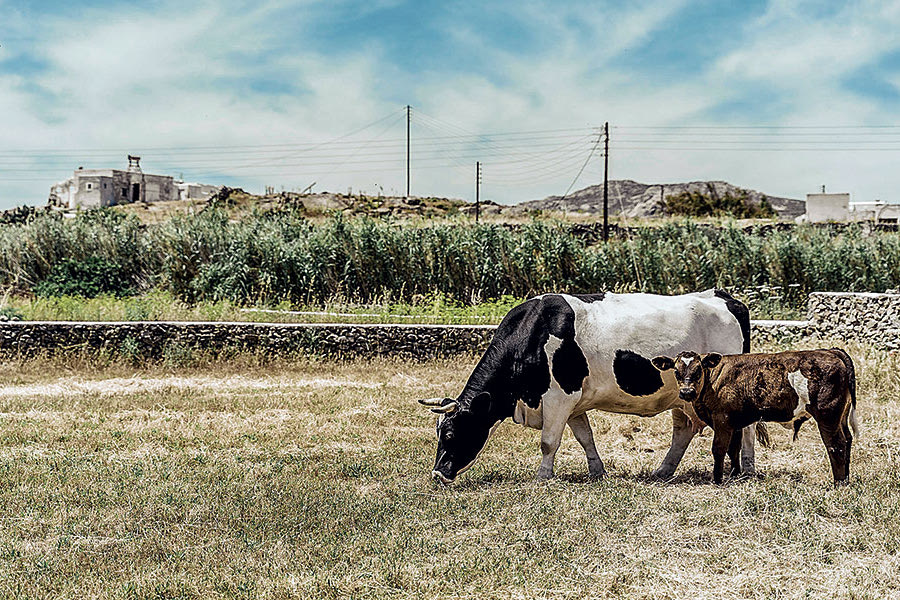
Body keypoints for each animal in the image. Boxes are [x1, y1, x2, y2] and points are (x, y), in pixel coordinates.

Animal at [416, 288, 760, 486]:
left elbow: (548, 442)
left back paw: (745, 469)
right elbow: (585, 438)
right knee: (684, 430)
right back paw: (663, 471)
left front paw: (543, 477)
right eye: (438, 432)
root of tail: (723, 297)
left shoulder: (559, 395)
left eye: (450, 434)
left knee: (746, 428)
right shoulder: (573, 402)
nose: (437, 474)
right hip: (681, 397)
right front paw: (597, 471)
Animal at [652, 350, 856, 486]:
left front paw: (717, 479)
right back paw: (846, 479)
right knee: (847, 440)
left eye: (698, 371)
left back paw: (838, 483)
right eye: (676, 372)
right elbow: (733, 449)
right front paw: (734, 474)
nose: (686, 392)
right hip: (841, 417)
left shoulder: (722, 420)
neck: (712, 381)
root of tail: (831, 351)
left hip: (828, 415)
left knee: (836, 445)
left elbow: (719, 449)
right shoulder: (734, 422)